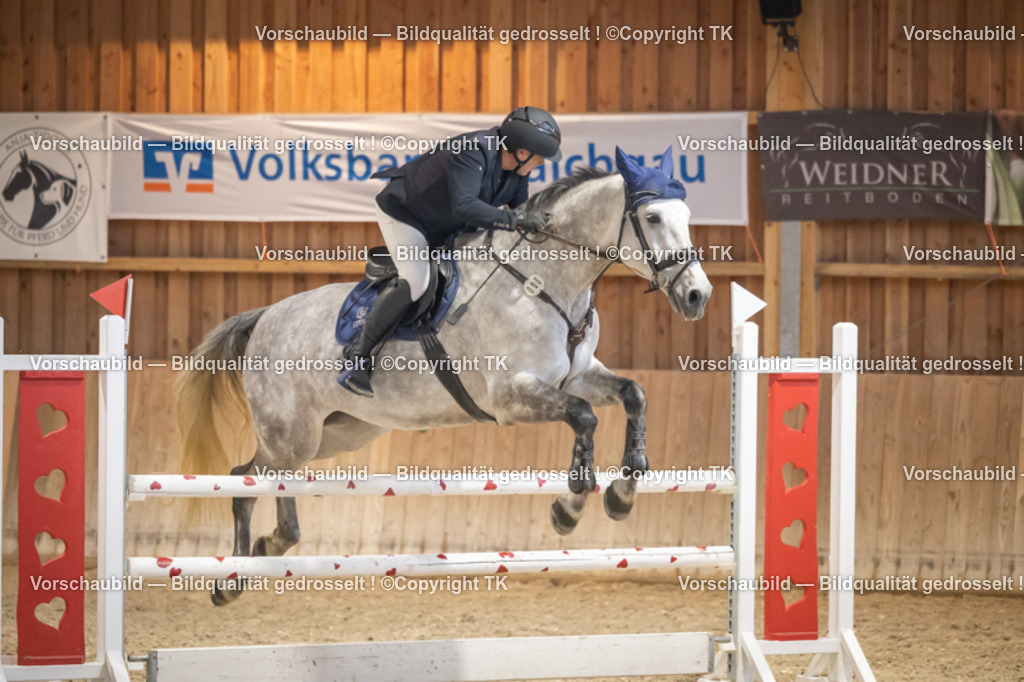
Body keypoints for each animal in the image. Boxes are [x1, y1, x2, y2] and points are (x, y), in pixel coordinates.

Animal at [174, 146, 713, 605]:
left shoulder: (576, 378)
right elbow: (584, 419)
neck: (545, 281)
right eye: (652, 217)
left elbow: (634, 395)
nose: (697, 296)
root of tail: (264, 316)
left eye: (687, 218)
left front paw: (622, 495)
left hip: (337, 432)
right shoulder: (512, 396)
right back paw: (232, 580)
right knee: (244, 481)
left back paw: (271, 546)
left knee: (275, 480)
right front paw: (570, 508)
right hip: (291, 433)